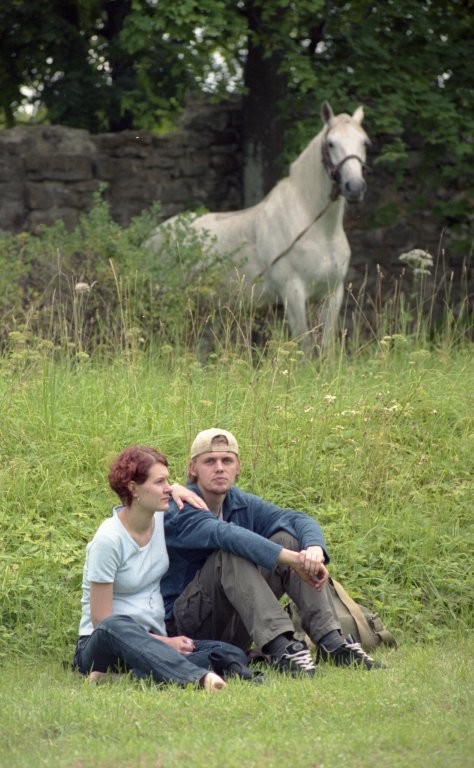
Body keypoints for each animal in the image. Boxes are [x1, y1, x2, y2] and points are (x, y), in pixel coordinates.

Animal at [146, 102, 371, 353]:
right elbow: (304, 347)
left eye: (364, 142)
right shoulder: (293, 294)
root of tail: (152, 237)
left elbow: (327, 348)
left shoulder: (332, 295)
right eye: (331, 143)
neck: (317, 230)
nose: (355, 187)